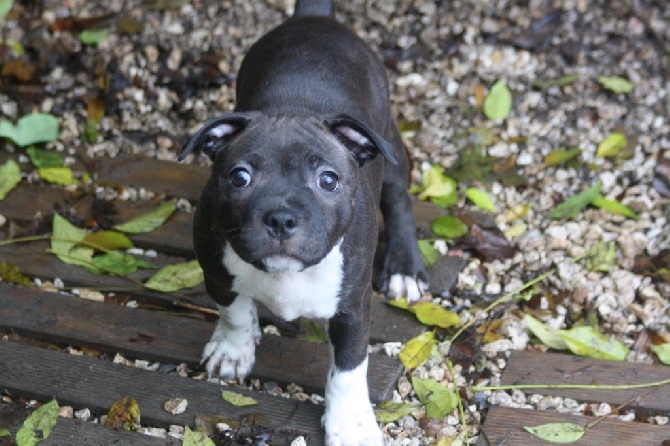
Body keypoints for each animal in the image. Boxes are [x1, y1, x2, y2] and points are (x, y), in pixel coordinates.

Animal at [178, 1, 430, 444]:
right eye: (239, 177)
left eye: (328, 180)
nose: (281, 217)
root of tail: (314, 17)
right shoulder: (217, 273)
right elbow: (233, 313)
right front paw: (233, 349)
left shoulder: (352, 309)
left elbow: (348, 369)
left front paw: (351, 424)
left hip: (389, 140)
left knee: (399, 197)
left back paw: (403, 268)